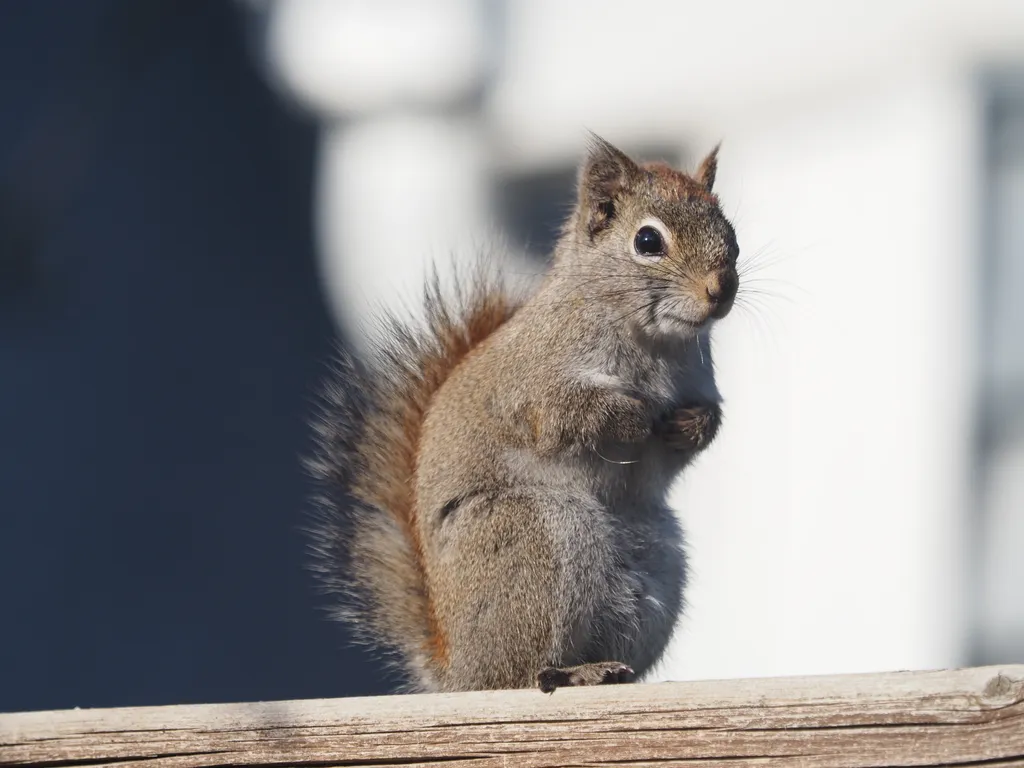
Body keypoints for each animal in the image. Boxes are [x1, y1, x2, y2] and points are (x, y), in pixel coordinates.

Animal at [307, 135, 741, 696]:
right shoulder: (533, 386)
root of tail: (457, 671)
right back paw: (571, 672)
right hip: (538, 535)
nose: (720, 290)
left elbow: (708, 422)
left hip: (656, 570)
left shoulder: (701, 385)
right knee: (517, 673)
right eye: (648, 241)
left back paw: (610, 673)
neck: (654, 341)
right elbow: (568, 417)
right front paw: (636, 415)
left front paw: (687, 425)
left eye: (731, 233)